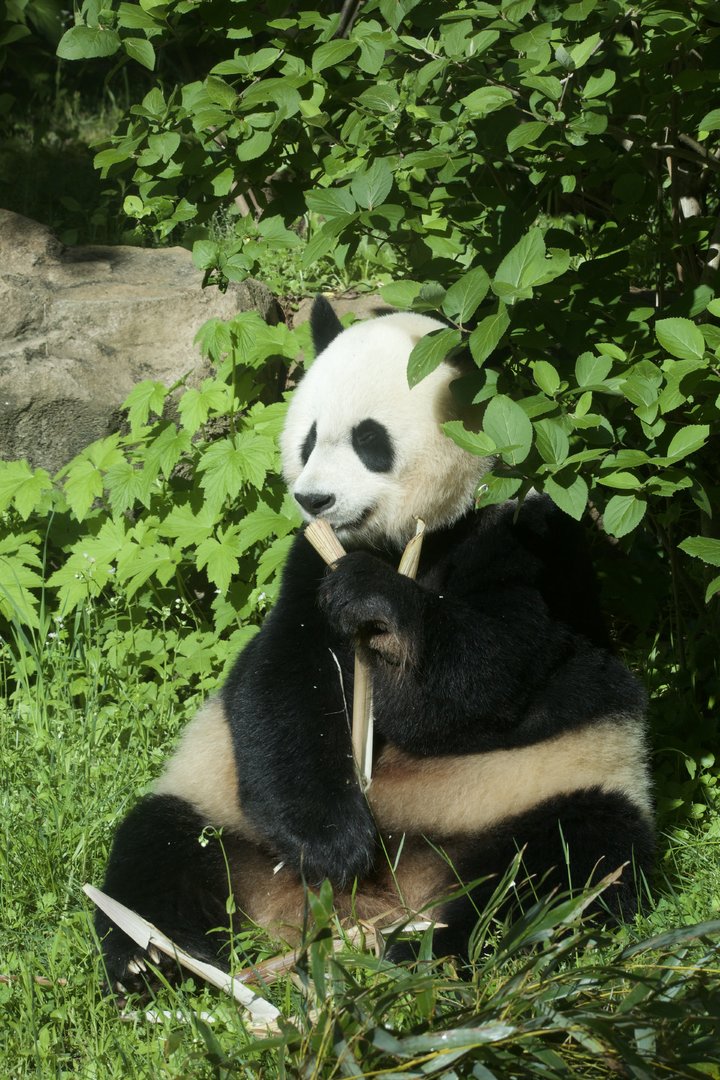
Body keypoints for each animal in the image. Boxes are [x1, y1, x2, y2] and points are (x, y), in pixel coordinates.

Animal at [95, 296, 654, 991]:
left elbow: (493, 674)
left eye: (369, 440)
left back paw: (431, 952)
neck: (414, 535)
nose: (314, 498)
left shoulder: (532, 538)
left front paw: (379, 605)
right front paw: (333, 845)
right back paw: (151, 959)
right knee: (158, 850)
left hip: (553, 784)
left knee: (562, 866)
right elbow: (282, 683)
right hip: (219, 807)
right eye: (307, 438)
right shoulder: (309, 562)